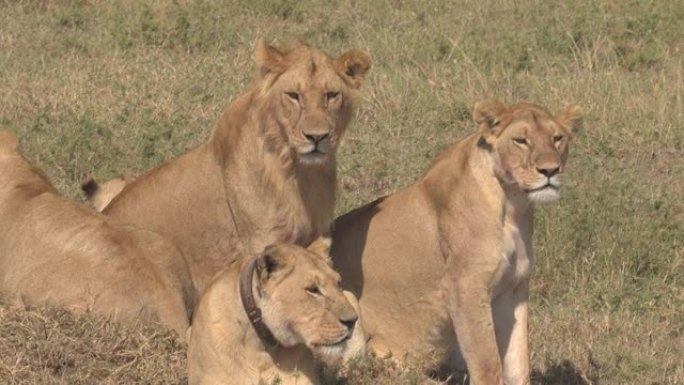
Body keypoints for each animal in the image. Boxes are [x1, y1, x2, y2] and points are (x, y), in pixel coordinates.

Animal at [332, 101, 584, 384]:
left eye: (557, 138)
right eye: (521, 140)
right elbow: (487, 361)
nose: (550, 170)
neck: (512, 205)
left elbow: (518, 360)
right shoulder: (465, 287)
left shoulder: (514, 289)